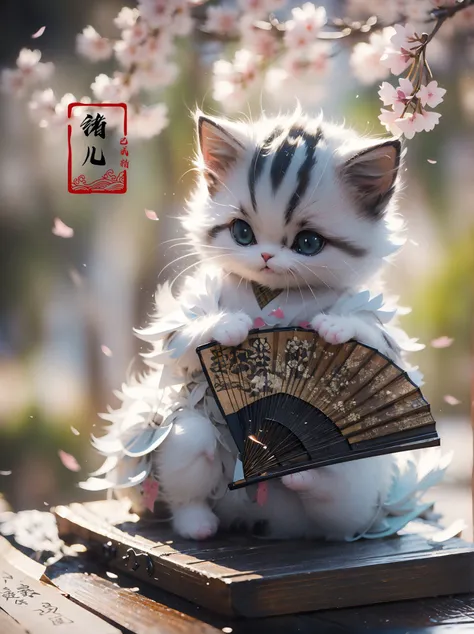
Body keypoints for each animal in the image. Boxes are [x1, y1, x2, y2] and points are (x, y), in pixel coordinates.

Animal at [111, 108, 418, 540]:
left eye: (308, 243)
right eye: (243, 233)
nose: (267, 257)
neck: (269, 293)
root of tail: (259, 513)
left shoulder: (373, 319)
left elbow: (379, 342)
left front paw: (335, 328)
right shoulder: (188, 308)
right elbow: (177, 343)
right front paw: (230, 327)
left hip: (356, 489)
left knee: (337, 499)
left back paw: (304, 477)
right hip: (184, 447)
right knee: (191, 449)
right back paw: (198, 525)